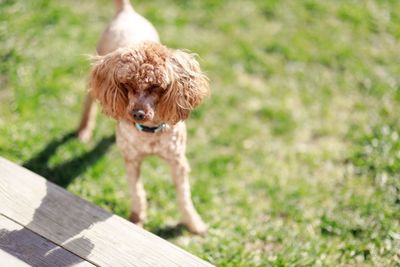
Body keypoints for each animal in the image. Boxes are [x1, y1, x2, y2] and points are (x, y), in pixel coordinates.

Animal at [76, 0, 211, 234]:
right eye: (126, 84)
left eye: (157, 86)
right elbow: (137, 192)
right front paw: (137, 220)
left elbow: (184, 197)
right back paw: (84, 131)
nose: (137, 113)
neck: (149, 133)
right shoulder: (132, 161)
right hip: (94, 81)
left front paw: (194, 224)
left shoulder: (178, 162)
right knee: (88, 105)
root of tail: (126, 11)